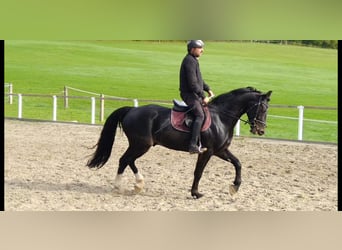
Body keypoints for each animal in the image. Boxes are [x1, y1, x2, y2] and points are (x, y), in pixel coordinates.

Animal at [87, 87, 272, 198]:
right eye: (262, 108)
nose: (261, 130)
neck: (221, 117)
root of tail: (132, 110)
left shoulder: (220, 150)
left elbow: (238, 163)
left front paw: (235, 187)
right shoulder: (208, 151)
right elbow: (198, 172)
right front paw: (195, 193)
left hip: (140, 145)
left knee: (129, 160)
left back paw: (138, 184)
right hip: (141, 145)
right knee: (124, 160)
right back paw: (118, 186)